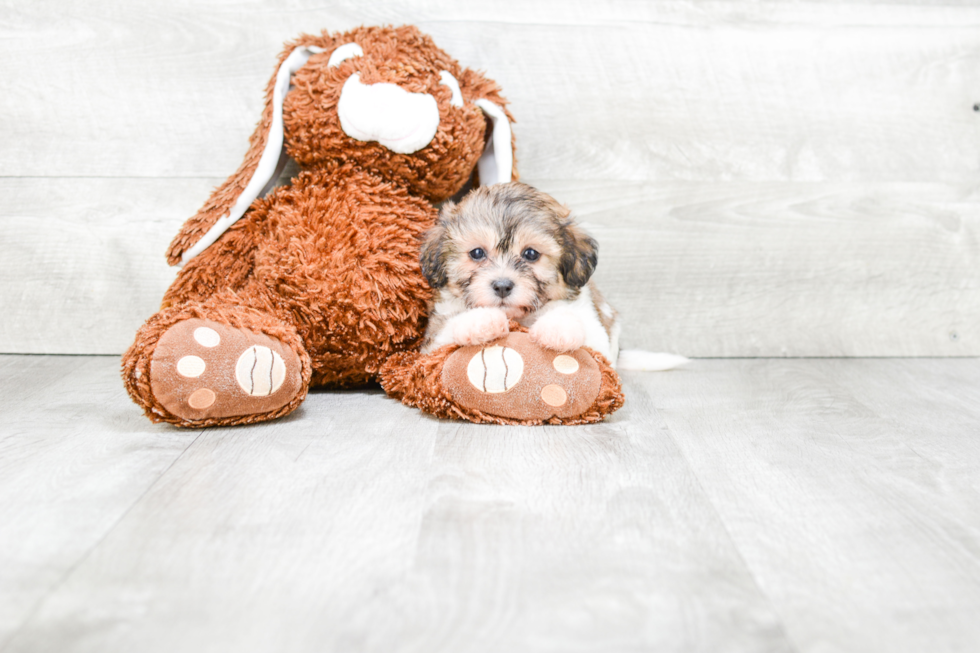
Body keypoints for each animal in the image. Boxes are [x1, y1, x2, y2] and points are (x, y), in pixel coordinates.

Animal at [420, 181, 620, 364]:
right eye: (477, 253)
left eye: (531, 254)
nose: (502, 286)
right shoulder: (433, 345)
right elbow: (446, 331)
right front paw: (480, 320)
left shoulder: (598, 340)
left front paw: (558, 327)